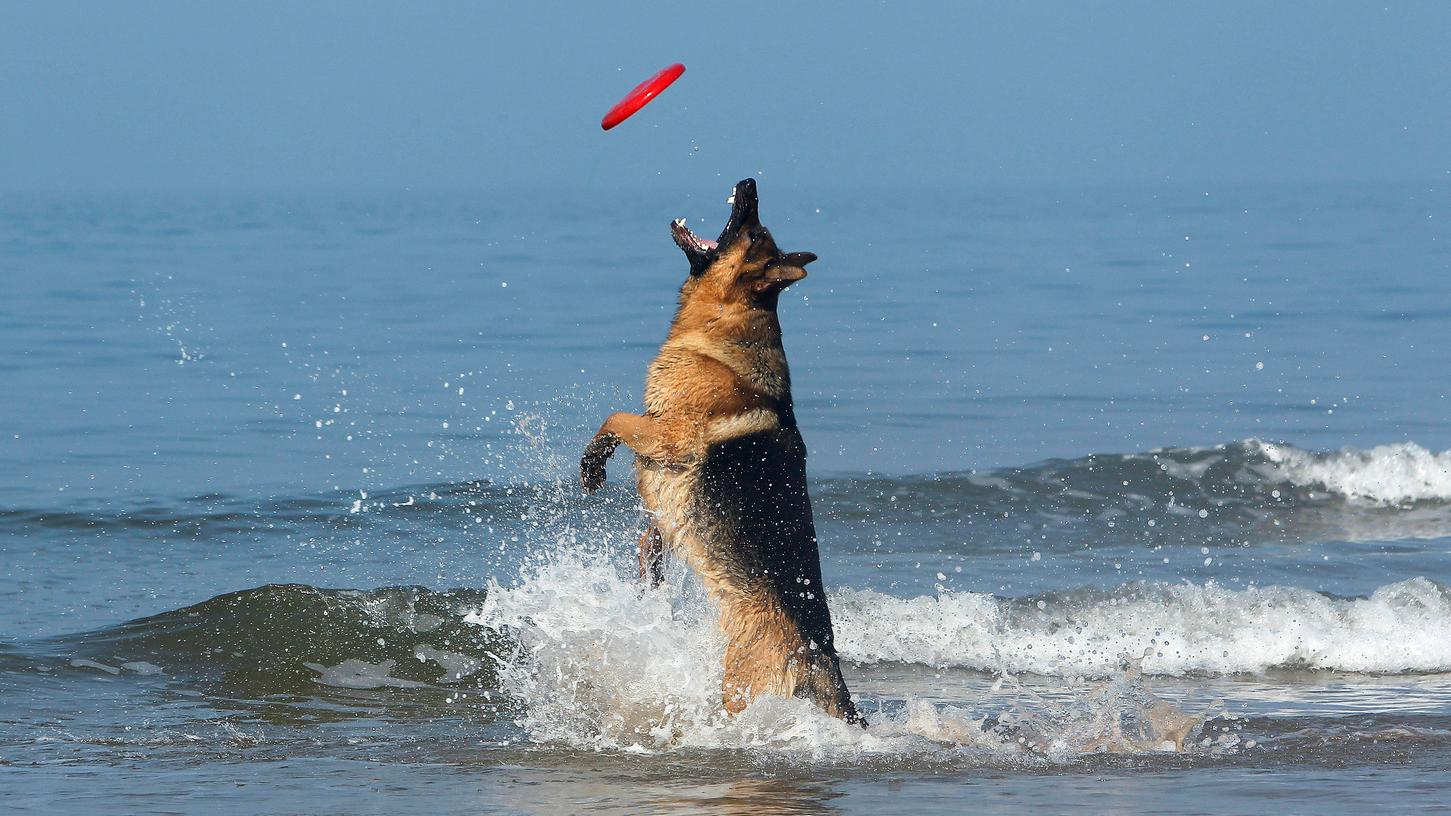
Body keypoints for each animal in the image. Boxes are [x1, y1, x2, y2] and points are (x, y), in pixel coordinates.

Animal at [580, 179, 858, 723]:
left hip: (738, 684)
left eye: (752, 232)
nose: (749, 183)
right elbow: (655, 531)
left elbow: (615, 417)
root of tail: (822, 663)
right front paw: (650, 564)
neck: (725, 321)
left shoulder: (667, 435)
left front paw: (592, 463)